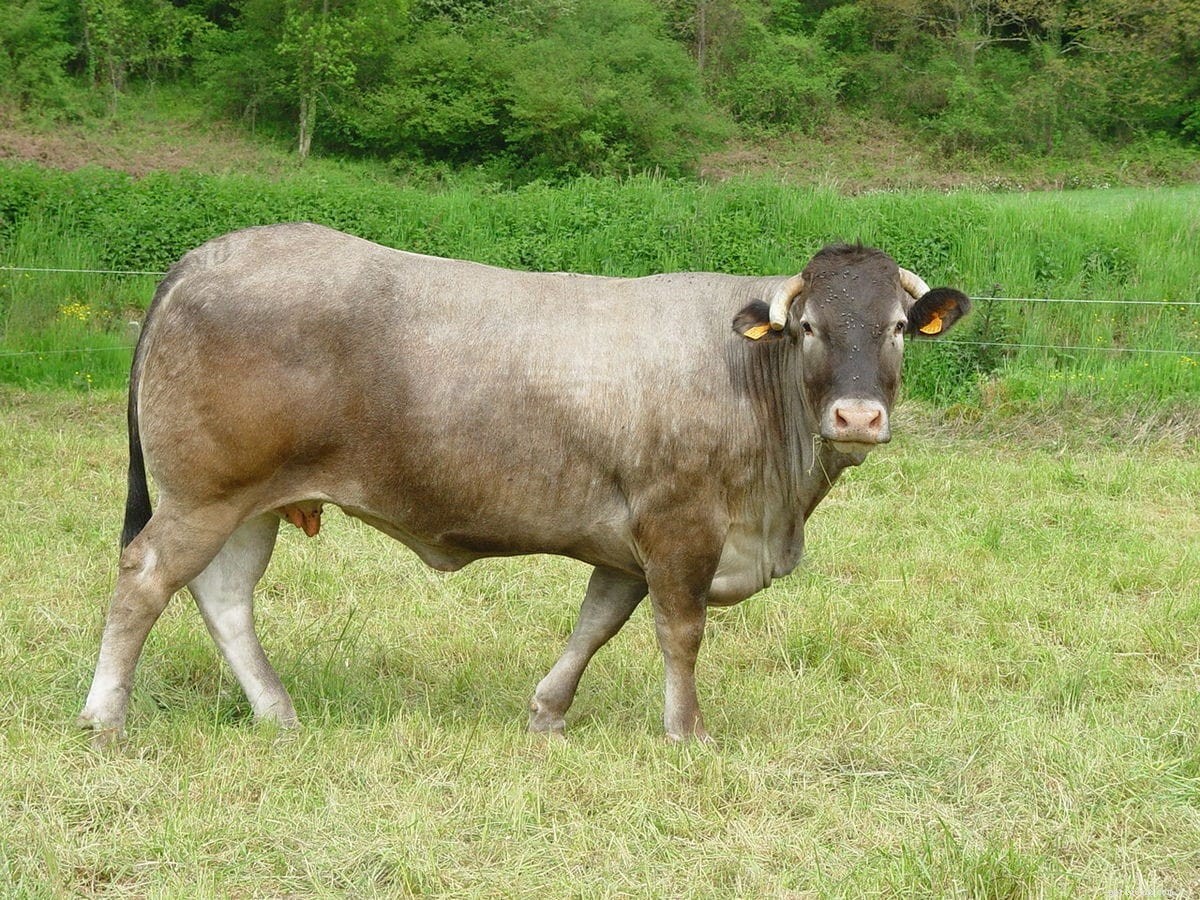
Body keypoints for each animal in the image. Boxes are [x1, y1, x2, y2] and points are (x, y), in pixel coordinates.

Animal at [78, 223, 969, 742]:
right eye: (809, 328)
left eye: (897, 328)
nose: (857, 416)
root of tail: (210, 253)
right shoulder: (680, 527)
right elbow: (678, 633)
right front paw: (687, 732)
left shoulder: (625, 543)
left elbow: (595, 625)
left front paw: (547, 712)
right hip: (206, 493)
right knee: (146, 576)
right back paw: (106, 714)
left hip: (247, 502)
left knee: (224, 594)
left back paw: (277, 712)